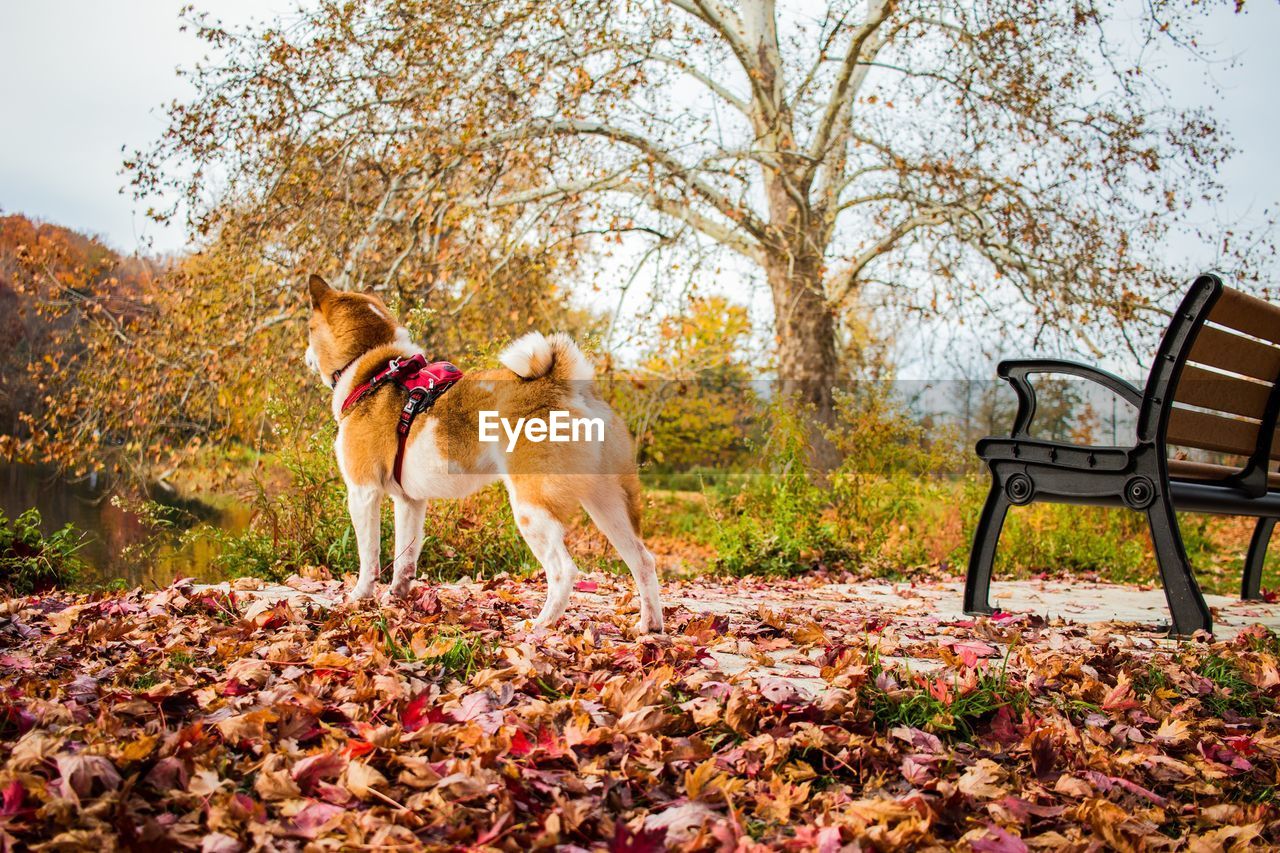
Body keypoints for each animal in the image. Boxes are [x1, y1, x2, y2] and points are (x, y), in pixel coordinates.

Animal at [303, 274, 665, 630]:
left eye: (308, 328)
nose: (304, 354)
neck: (375, 371)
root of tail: (564, 385)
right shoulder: (409, 502)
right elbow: (405, 560)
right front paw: (397, 598)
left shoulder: (363, 493)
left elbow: (369, 557)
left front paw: (359, 598)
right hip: (607, 503)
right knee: (642, 561)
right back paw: (650, 627)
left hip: (532, 507)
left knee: (563, 571)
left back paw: (538, 627)